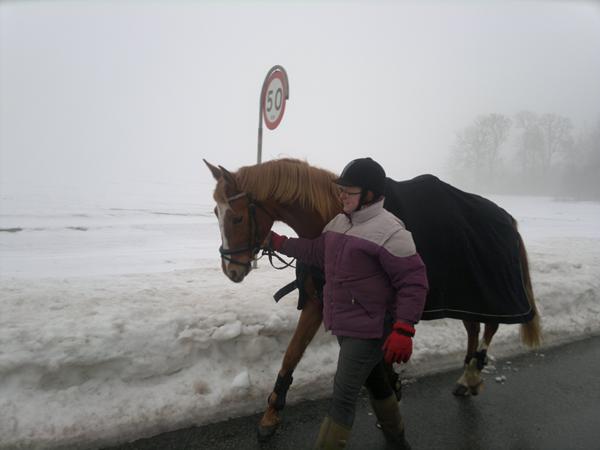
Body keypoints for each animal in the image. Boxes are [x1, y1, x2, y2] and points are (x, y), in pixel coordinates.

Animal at [204, 157, 540, 440]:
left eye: (236, 218)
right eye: (216, 213)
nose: (232, 270)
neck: (331, 221)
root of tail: (507, 219)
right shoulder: (316, 302)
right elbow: (291, 355)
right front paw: (272, 412)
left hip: (488, 291)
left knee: (489, 327)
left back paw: (472, 375)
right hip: (465, 293)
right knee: (473, 327)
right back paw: (465, 375)